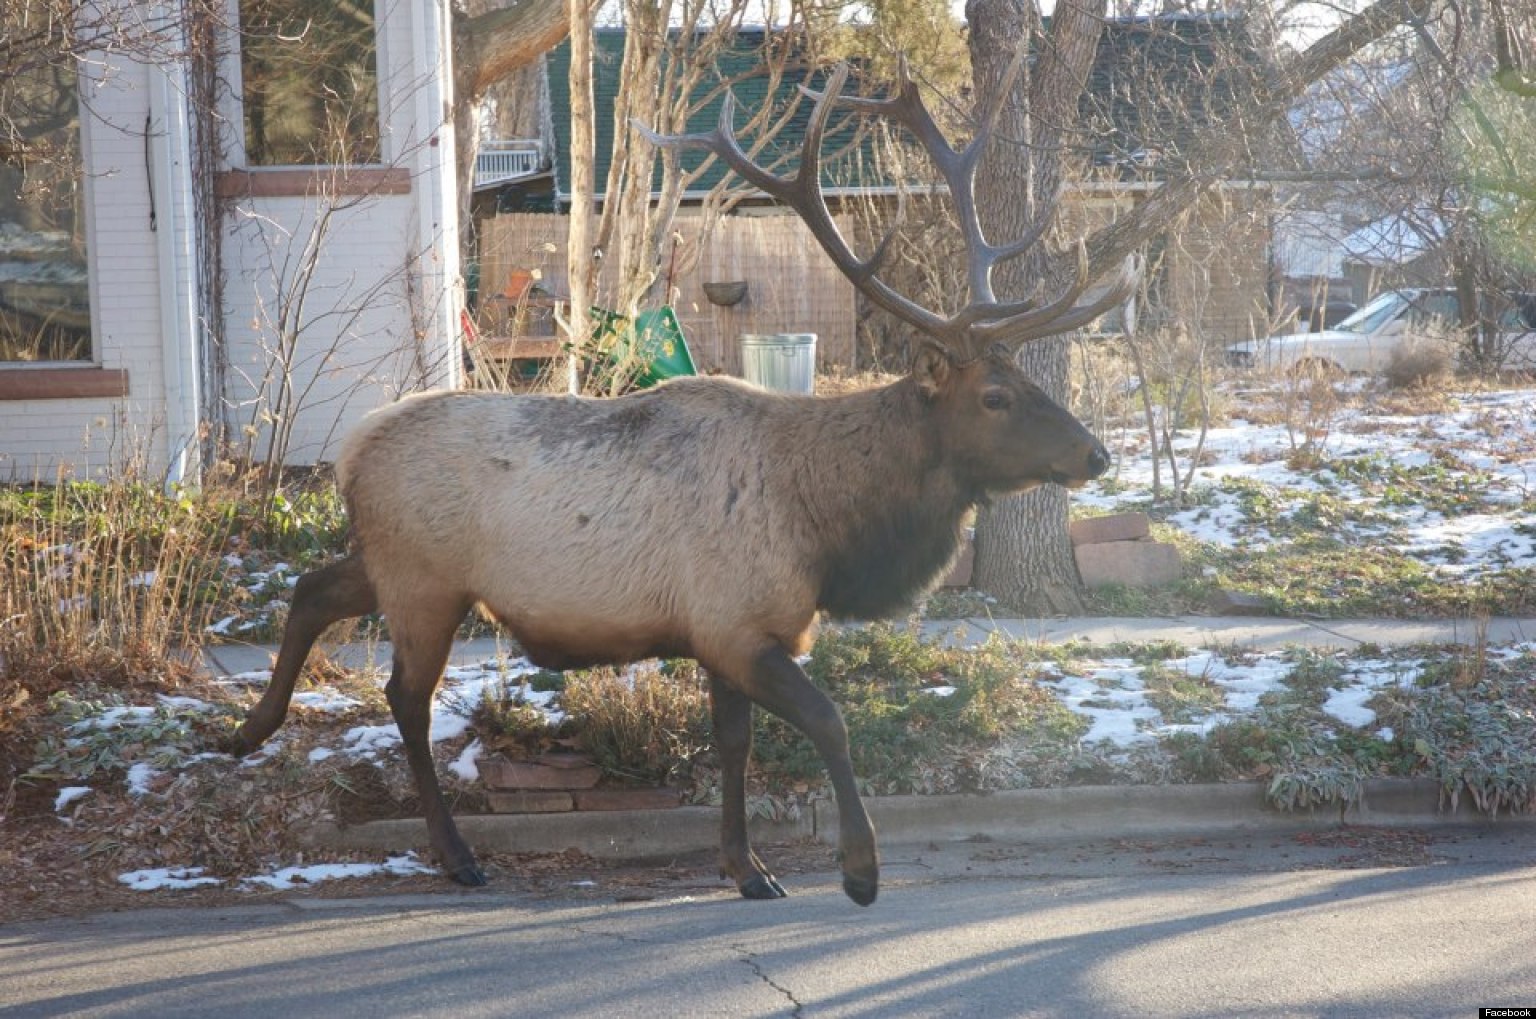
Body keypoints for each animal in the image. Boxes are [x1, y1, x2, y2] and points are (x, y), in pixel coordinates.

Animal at [225, 57, 1135, 907]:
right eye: (995, 396)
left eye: (1026, 379)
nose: (1095, 454)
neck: (826, 529)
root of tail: (352, 451)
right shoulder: (737, 624)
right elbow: (829, 721)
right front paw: (859, 868)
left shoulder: (725, 632)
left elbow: (733, 741)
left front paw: (748, 866)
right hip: (424, 580)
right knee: (404, 697)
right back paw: (456, 853)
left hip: (392, 564)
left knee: (312, 587)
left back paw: (251, 727)